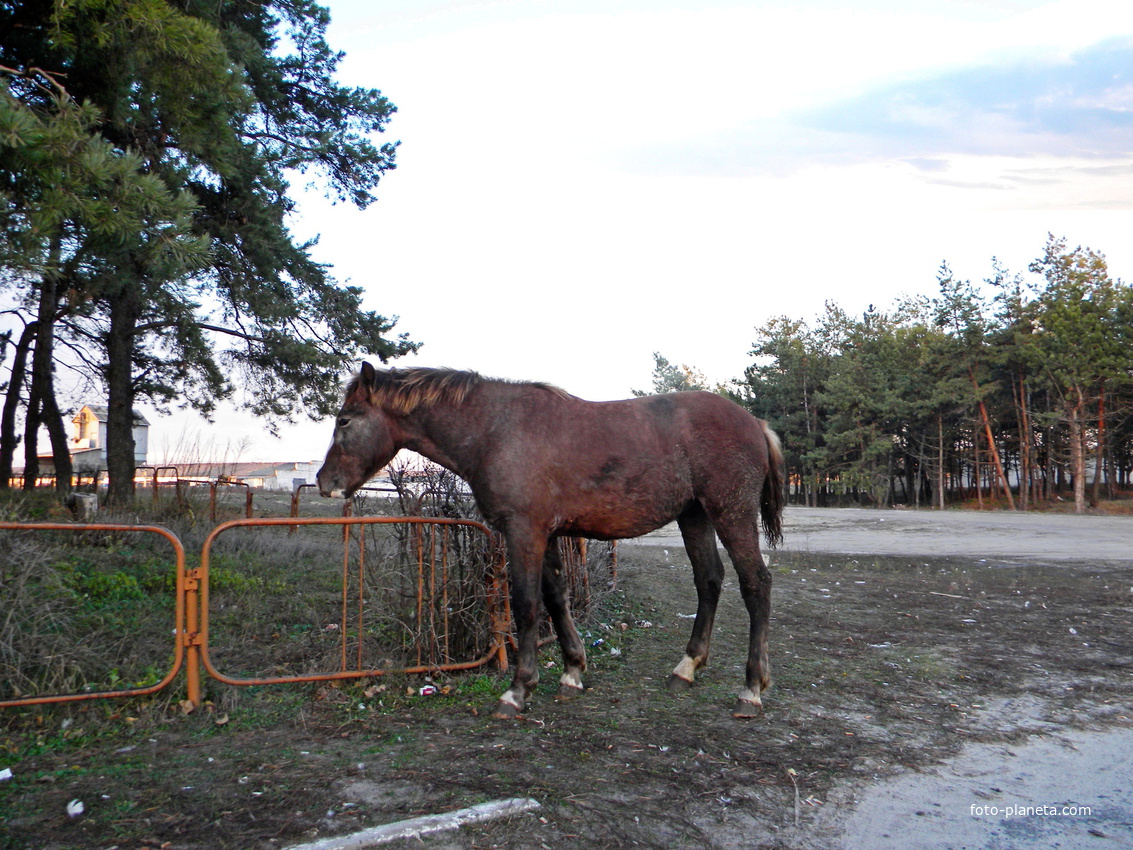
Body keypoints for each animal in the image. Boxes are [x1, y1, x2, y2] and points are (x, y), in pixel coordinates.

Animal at [314, 362, 784, 720]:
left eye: (345, 420)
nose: (324, 482)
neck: (496, 429)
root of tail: (755, 423)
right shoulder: (548, 534)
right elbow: (557, 598)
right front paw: (573, 671)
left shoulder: (524, 531)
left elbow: (525, 606)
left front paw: (518, 689)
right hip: (695, 516)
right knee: (709, 580)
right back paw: (686, 668)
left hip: (731, 514)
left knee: (755, 584)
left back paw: (751, 688)